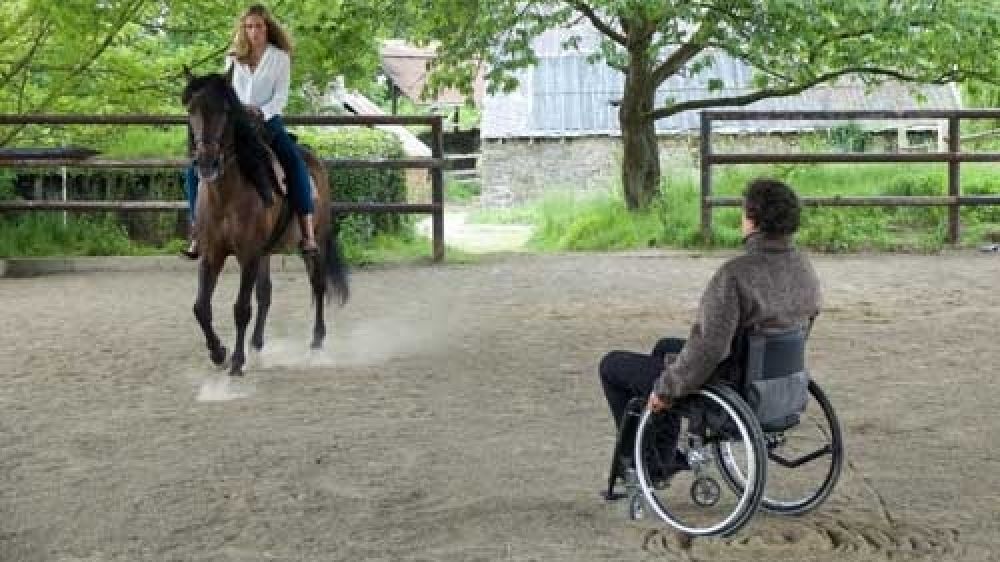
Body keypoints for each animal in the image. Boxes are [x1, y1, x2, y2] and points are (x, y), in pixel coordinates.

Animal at [182, 68, 350, 374]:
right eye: (191, 110)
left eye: (225, 111)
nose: (207, 162)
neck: (226, 195)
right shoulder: (213, 254)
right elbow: (200, 307)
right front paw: (219, 352)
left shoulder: (248, 255)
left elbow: (241, 308)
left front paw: (236, 361)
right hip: (265, 252)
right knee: (265, 293)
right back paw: (257, 343)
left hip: (314, 243)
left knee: (318, 285)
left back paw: (316, 341)